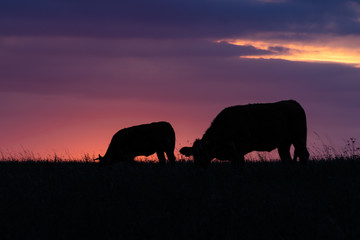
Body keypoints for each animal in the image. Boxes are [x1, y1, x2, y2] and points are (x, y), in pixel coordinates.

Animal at [180, 100, 310, 168]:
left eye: (203, 152)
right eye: (194, 154)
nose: (199, 165)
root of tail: (293, 102)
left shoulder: (242, 147)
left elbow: (240, 163)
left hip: (299, 138)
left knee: (304, 155)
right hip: (284, 143)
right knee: (286, 159)